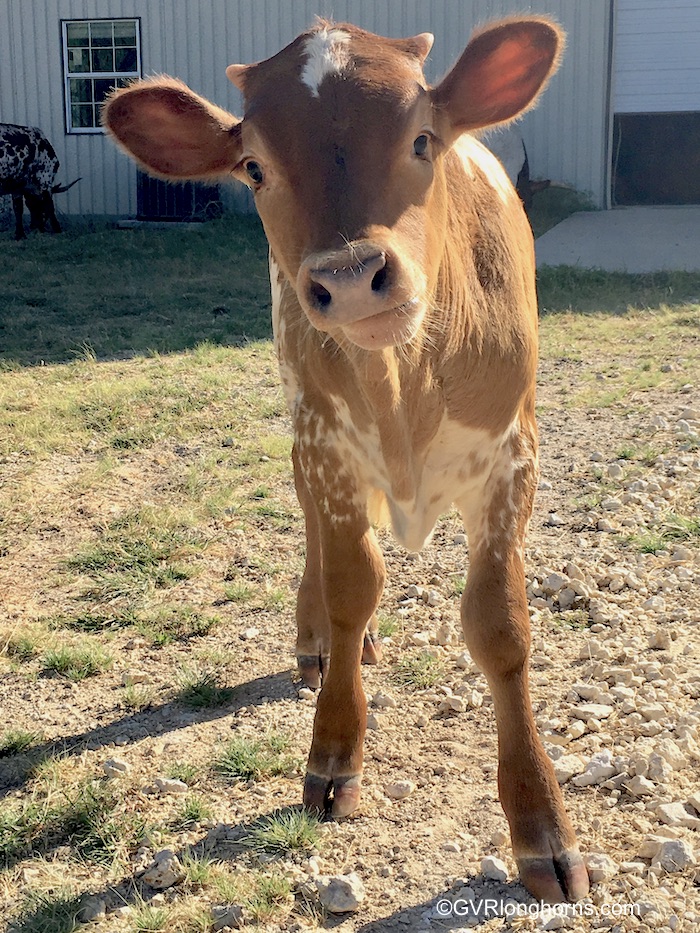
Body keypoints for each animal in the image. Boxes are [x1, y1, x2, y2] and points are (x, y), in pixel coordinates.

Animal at [105, 16, 592, 904]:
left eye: (423, 138)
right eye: (254, 166)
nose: (352, 278)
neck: (403, 380)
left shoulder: (513, 457)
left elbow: (501, 627)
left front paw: (542, 824)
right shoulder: (324, 444)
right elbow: (349, 587)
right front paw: (333, 750)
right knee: (320, 545)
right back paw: (318, 644)